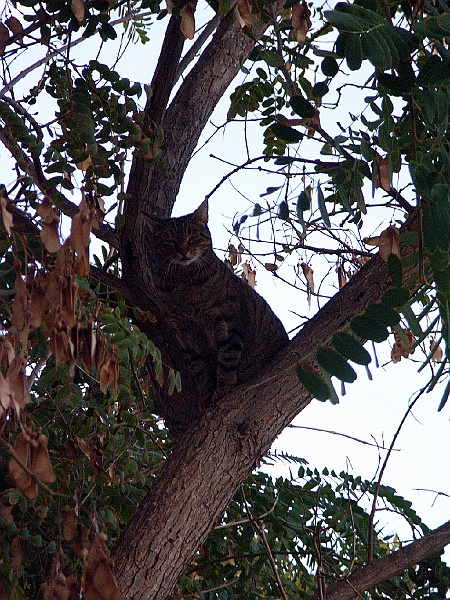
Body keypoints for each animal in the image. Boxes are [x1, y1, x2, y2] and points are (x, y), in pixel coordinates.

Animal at [146, 200, 290, 404]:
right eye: (169, 240)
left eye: (193, 235)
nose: (183, 251)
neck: (183, 282)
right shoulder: (185, 334)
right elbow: (199, 369)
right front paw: (206, 393)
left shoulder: (226, 322)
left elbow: (227, 358)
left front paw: (223, 388)